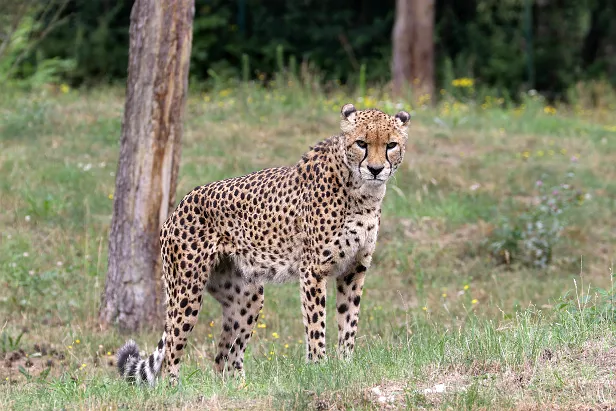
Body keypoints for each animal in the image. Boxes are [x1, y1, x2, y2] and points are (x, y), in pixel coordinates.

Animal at [118, 103, 412, 386]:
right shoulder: (313, 270)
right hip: (187, 290)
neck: (362, 191)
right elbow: (316, 324)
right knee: (172, 349)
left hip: (247, 297)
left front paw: (346, 365)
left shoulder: (354, 268)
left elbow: (348, 320)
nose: (375, 169)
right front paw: (319, 368)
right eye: (361, 143)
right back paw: (174, 389)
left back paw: (238, 388)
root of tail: (179, 205)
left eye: (391, 145)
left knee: (224, 356)